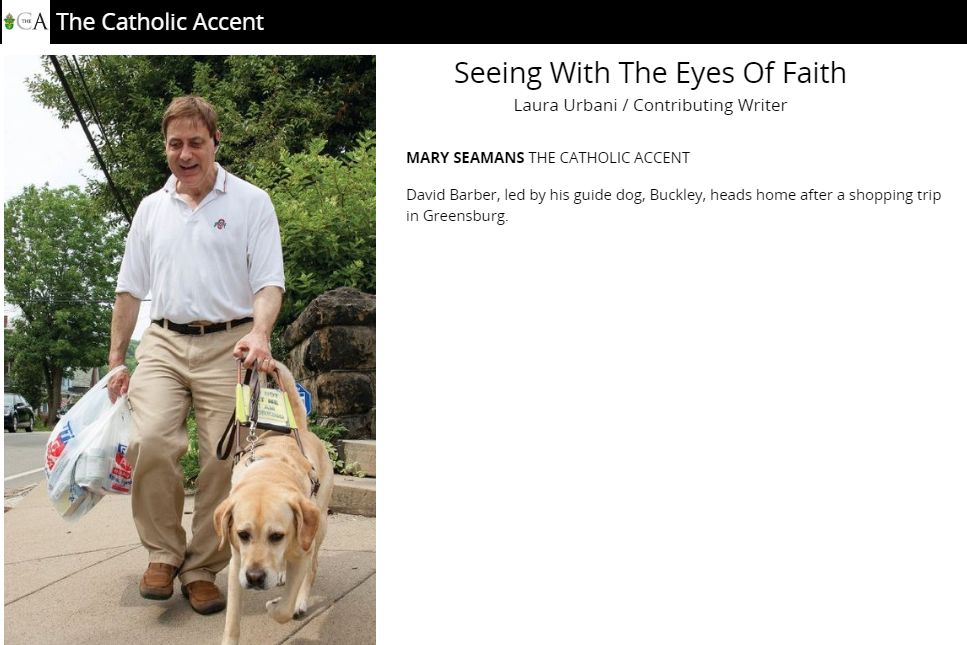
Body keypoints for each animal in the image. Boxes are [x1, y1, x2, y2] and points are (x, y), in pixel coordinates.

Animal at [214, 362, 334, 644]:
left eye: (277, 536)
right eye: (243, 534)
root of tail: (301, 431)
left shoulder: (301, 552)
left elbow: (283, 609)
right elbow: (232, 620)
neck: (269, 474)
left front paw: (277, 606)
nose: (255, 578)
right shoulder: (238, 563)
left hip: (319, 528)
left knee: (311, 569)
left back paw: (299, 599)